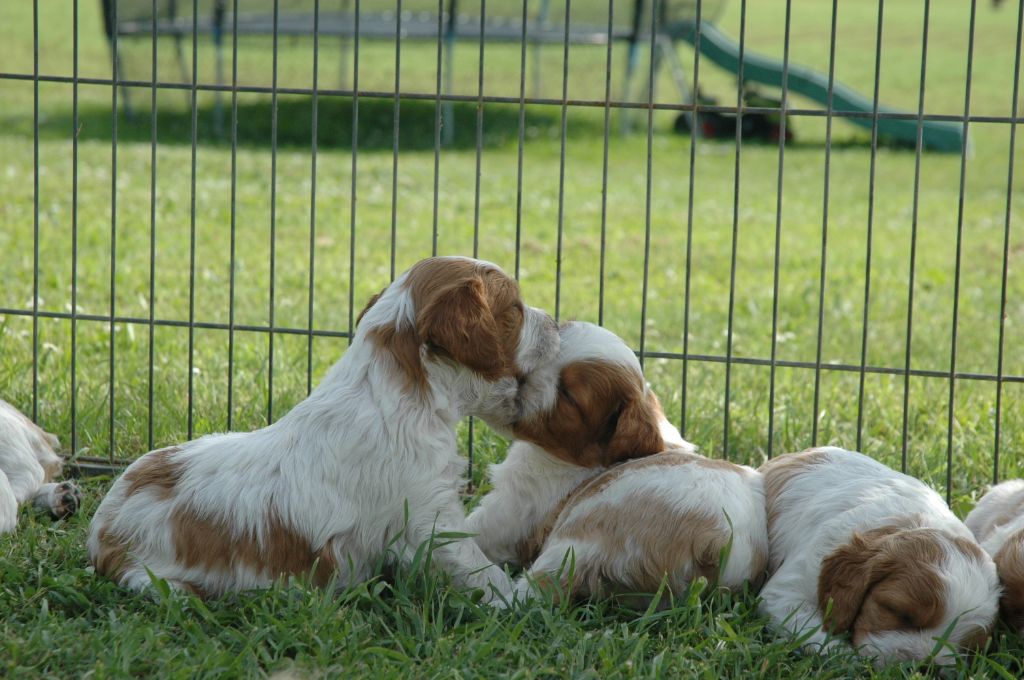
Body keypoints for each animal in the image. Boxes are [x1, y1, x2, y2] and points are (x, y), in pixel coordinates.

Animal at [88, 255, 561, 602]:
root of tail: (100, 535)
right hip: (154, 579)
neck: (395, 394)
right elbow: (476, 564)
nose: (557, 323)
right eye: (515, 310)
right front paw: (518, 601)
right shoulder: (428, 516)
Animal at [466, 321, 770, 602]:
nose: (521, 376)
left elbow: (474, 528)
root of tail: (717, 543)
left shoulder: (514, 507)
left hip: (578, 539)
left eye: (568, 396)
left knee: (532, 592)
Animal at [761, 446, 999, 663]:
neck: (911, 523)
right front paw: (847, 657)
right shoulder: (787, 592)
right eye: (899, 613)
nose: (920, 665)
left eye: (966, 647)